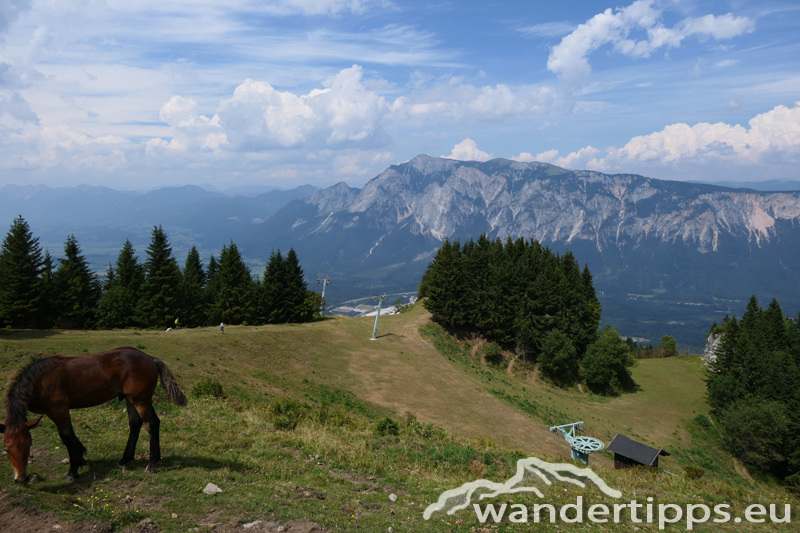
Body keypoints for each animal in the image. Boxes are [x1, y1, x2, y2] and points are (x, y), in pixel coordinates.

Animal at [0, 348, 186, 480]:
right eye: (6, 448)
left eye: (29, 444)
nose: (21, 479)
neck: (39, 381)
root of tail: (150, 358)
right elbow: (70, 437)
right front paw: (80, 458)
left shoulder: (59, 409)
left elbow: (66, 436)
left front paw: (73, 469)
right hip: (131, 399)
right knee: (135, 424)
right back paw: (125, 460)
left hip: (141, 400)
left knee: (151, 423)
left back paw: (152, 463)